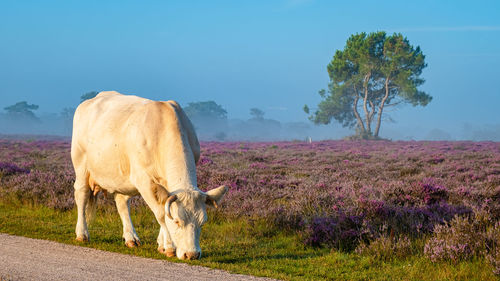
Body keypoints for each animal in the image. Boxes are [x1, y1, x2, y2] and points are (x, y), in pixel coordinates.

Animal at [71, 91, 229, 260]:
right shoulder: (144, 180)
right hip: (81, 164)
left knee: (122, 202)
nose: (192, 254)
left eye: (203, 222)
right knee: (81, 195)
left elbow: (165, 205)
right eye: (177, 221)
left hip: (121, 176)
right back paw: (82, 234)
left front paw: (161, 244)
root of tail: (92, 99)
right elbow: (161, 214)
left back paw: (131, 238)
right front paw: (169, 247)